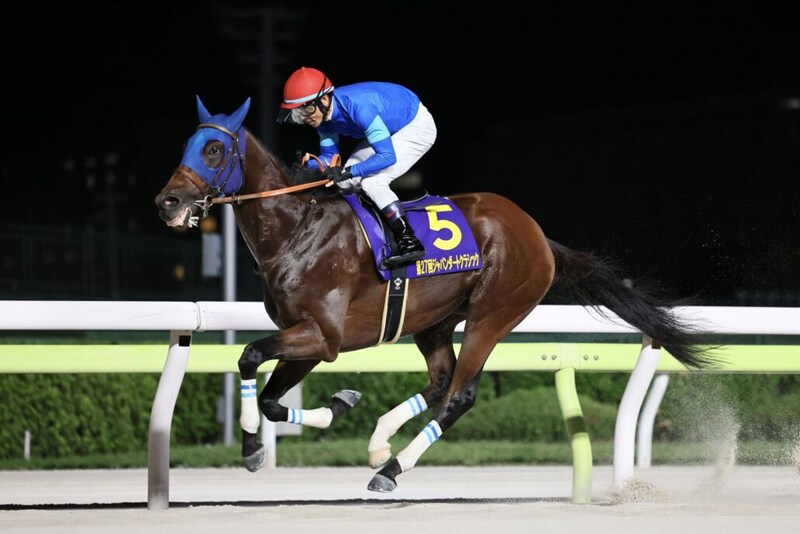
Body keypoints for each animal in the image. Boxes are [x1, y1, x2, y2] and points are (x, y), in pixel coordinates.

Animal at [155, 96, 714, 492]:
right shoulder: (306, 337)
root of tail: (536, 233)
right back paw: (380, 444)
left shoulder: (323, 336)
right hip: (435, 320)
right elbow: (271, 398)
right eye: (185, 145)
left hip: (493, 314)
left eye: (214, 149)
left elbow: (249, 356)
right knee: (441, 381)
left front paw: (257, 444)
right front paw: (313, 417)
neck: (296, 231)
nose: (168, 202)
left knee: (460, 393)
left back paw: (390, 469)